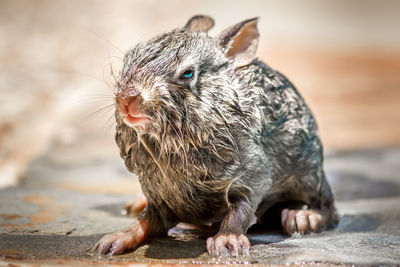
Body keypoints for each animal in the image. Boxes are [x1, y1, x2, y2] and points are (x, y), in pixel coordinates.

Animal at [94, 14, 338, 258]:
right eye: (128, 59)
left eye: (187, 74)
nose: (127, 98)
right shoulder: (157, 191)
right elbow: (148, 219)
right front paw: (114, 240)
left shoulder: (254, 175)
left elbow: (241, 208)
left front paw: (227, 241)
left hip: (309, 172)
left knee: (328, 207)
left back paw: (303, 218)